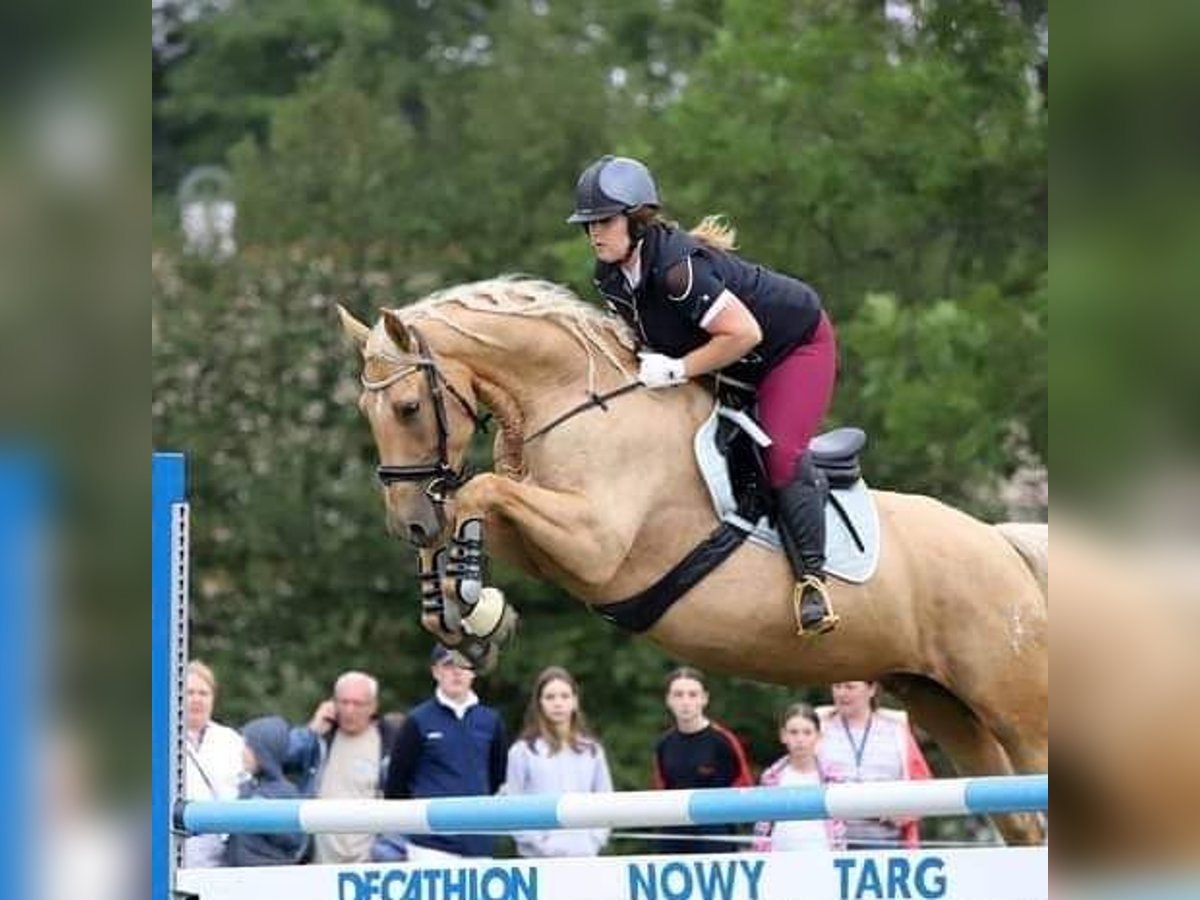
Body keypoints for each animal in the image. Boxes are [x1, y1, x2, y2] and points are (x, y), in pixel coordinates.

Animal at [340, 277, 1051, 844]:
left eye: (407, 407)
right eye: (365, 411)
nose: (405, 519)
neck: (572, 403)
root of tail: (1002, 546)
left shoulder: (594, 545)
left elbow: (478, 491)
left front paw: (470, 603)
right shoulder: (549, 543)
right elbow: (468, 508)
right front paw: (467, 615)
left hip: (1014, 709)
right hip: (943, 703)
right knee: (1021, 823)